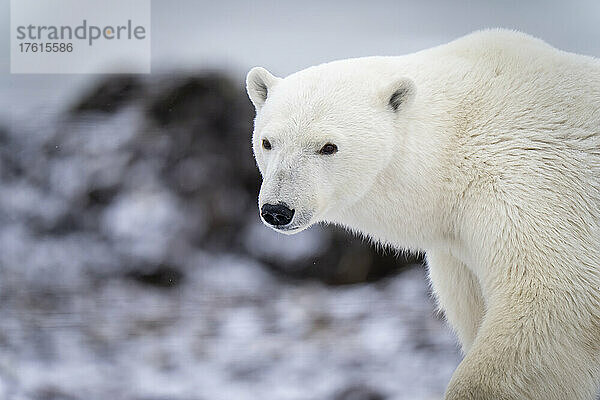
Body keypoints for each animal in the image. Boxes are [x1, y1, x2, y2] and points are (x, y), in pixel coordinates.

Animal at [245, 29, 600, 398]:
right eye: (267, 142)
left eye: (328, 146)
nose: (277, 210)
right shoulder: (458, 254)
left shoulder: (531, 189)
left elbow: (552, 304)